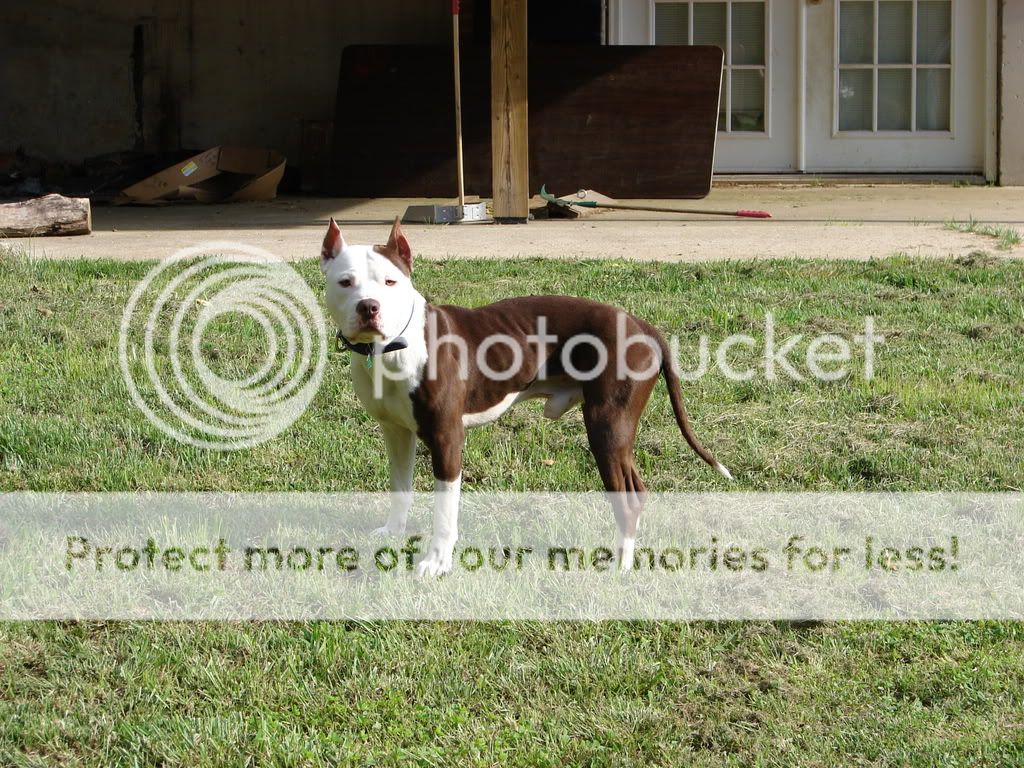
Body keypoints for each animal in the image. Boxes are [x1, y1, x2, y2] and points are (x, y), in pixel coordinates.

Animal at [319, 217, 729, 577]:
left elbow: (444, 512)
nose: (369, 307)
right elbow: (400, 488)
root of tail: (642, 326)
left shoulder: (446, 439)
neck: (392, 347)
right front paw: (393, 533)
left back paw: (621, 565)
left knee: (626, 498)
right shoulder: (396, 433)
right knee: (637, 491)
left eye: (390, 281)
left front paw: (437, 563)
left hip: (607, 427)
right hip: (616, 433)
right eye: (345, 282)